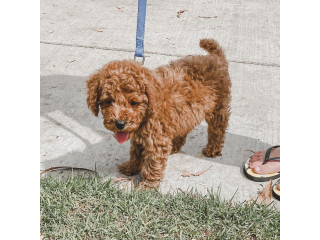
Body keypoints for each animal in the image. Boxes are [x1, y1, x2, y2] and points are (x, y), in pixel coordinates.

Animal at [86, 39, 231, 188]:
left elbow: (152, 164)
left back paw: (212, 148)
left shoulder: (156, 140)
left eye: (134, 103)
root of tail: (215, 58)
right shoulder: (140, 137)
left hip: (218, 106)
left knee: (218, 128)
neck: (147, 112)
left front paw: (147, 185)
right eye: (108, 101)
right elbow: (135, 152)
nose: (120, 124)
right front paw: (131, 167)